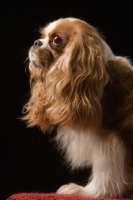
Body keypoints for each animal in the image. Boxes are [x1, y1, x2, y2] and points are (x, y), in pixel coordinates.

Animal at [23, 18, 133, 198]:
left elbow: (105, 169)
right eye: (42, 36)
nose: (36, 42)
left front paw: (88, 191)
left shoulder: (108, 138)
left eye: (56, 40)